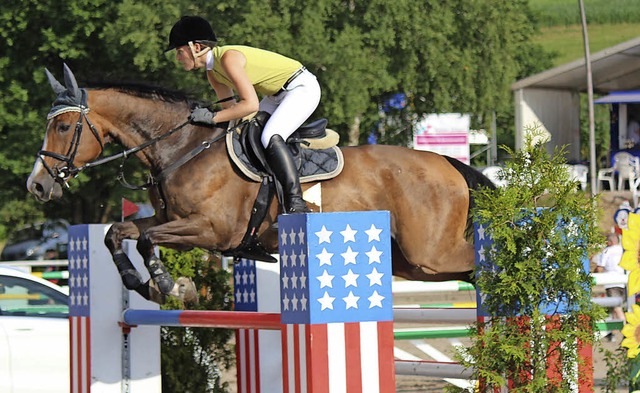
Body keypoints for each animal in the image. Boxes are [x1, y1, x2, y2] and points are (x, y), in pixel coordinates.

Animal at [26, 63, 496, 304]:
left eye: (63, 127)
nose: (37, 186)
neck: (182, 147)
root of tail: (446, 164)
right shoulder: (168, 220)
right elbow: (116, 232)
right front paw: (142, 285)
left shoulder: (210, 231)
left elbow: (144, 241)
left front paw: (169, 285)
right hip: (408, 261)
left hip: (428, 254)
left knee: (477, 259)